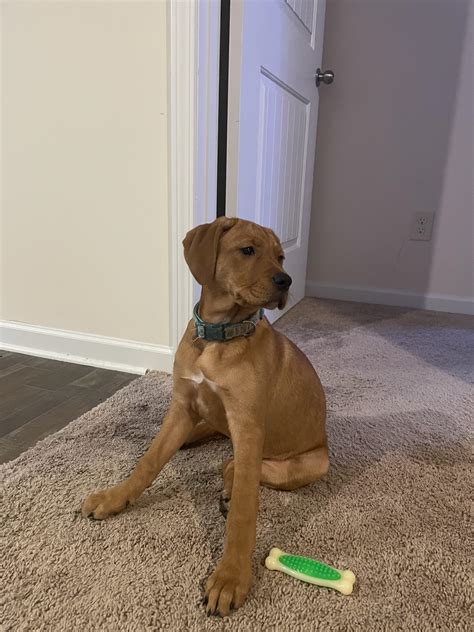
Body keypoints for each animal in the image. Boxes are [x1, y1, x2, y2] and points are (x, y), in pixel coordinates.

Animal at [82, 218, 326, 616]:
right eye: (248, 250)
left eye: (281, 256)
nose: (286, 281)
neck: (217, 338)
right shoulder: (181, 406)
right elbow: (149, 461)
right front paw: (115, 498)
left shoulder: (247, 427)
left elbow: (244, 509)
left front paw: (230, 577)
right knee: (218, 444)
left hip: (306, 464)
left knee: (237, 466)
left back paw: (228, 486)